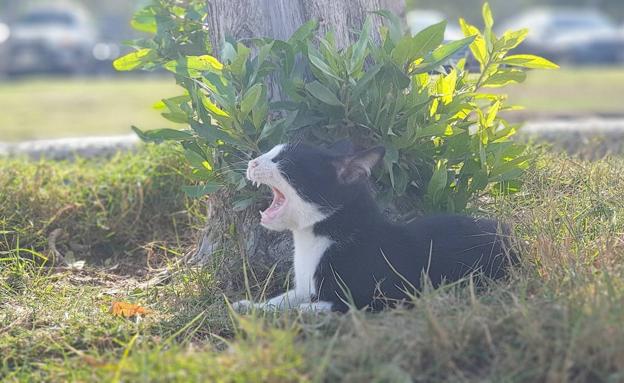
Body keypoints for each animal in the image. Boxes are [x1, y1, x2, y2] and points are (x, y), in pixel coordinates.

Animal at [234, 142, 516, 314]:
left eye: (283, 162)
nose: (252, 162)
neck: (314, 240)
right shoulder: (303, 289)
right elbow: (281, 300)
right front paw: (251, 307)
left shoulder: (378, 298)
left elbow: (310, 308)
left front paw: (293, 314)